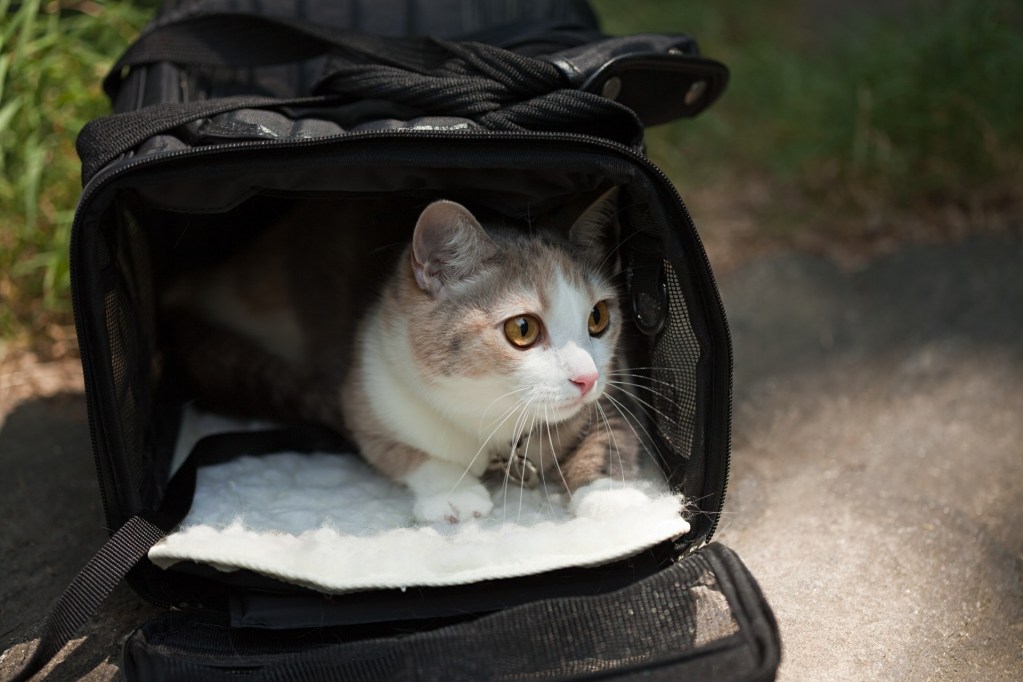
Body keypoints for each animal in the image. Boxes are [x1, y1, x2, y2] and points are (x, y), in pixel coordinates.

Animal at [162, 189, 634, 527]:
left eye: (598, 317)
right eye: (523, 329)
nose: (587, 378)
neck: (491, 419)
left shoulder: (619, 384)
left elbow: (613, 432)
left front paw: (610, 497)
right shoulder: (370, 388)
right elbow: (399, 450)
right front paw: (452, 492)